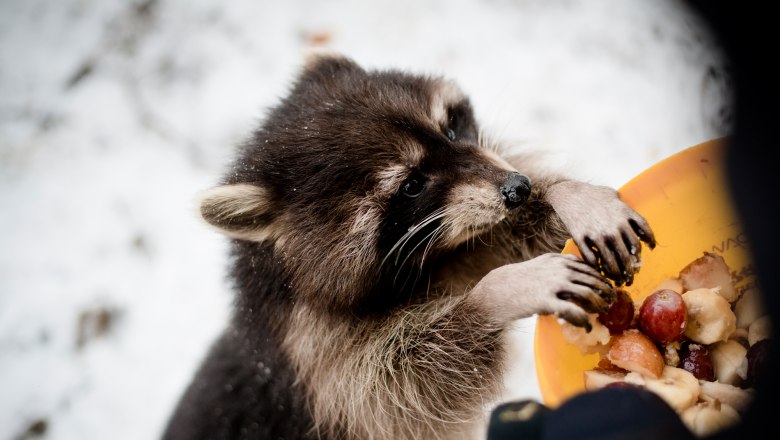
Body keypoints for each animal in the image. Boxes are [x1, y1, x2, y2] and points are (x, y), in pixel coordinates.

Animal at [161, 52, 656, 440]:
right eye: (412, 184)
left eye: (451, 131)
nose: (519, 188)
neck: (425, 264)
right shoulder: (316, 360)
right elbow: (407, 384)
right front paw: (498, 292)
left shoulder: (452, 242)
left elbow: (495, 238)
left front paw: (565, 196)